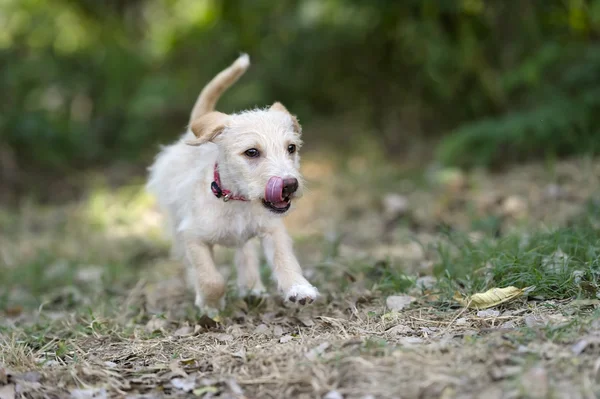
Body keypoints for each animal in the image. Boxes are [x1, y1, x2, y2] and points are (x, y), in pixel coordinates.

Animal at [146, 54, 318, 316]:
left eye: (291, 148)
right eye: (252, 152)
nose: (289, 185)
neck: (237, 200)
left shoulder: (272, 229)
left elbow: (284, 258)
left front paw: (298, 287)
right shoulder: (192, 237)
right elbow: (211, 278)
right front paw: (210, 304)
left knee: (245, 253)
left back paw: (252, 288)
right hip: (175, 223)